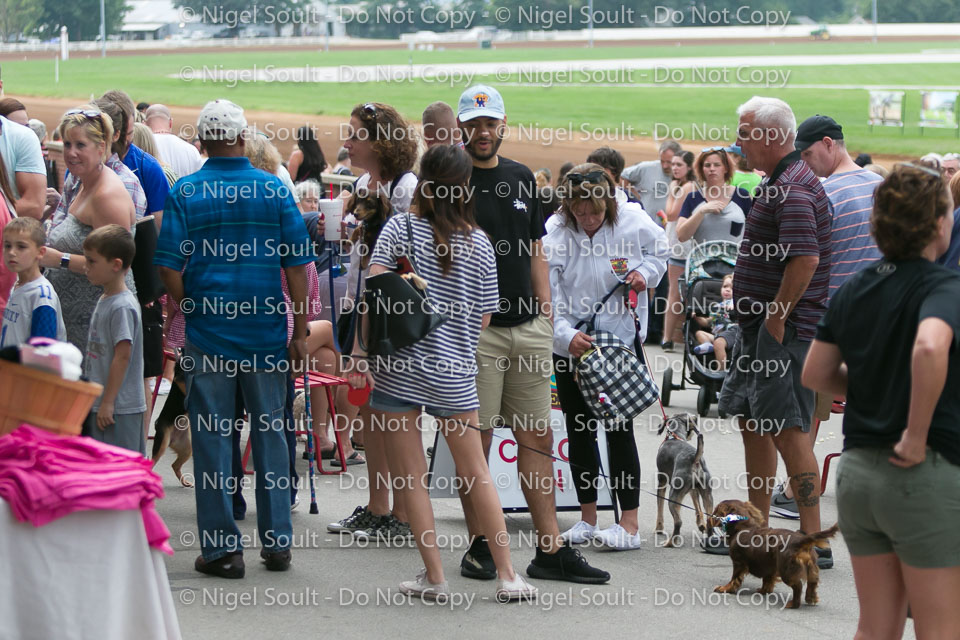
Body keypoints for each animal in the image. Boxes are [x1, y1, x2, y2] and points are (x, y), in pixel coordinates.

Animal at [708, 498, 836, 608]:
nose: (710, 518)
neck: (744, 527)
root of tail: (801, 540)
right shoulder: (769, 567)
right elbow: (767, 581)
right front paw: (764, 591)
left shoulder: (738, 563)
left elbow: (734, 579)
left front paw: (724, 588)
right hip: (811, 567)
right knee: (812, 583)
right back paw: (811, 598)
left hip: (787, 571)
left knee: (798, 586)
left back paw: (793, 604)